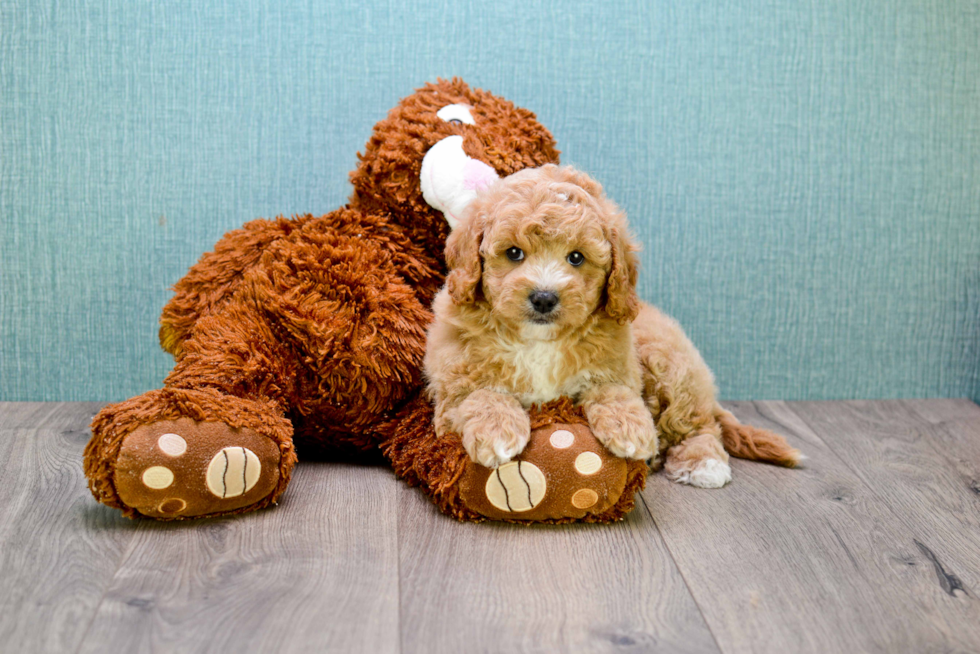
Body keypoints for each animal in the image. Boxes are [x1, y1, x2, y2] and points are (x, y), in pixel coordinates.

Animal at [424, 167, 800, 490]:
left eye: (576, 258)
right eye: (513, 253)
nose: (544, 298)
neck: (539, 341)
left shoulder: (619, 366)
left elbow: (613, 390)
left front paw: (631, 428)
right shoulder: (452, 384)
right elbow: (479, 394)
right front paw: (498, 430)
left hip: (671, 364)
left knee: (699, 424)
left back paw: (703, 463)